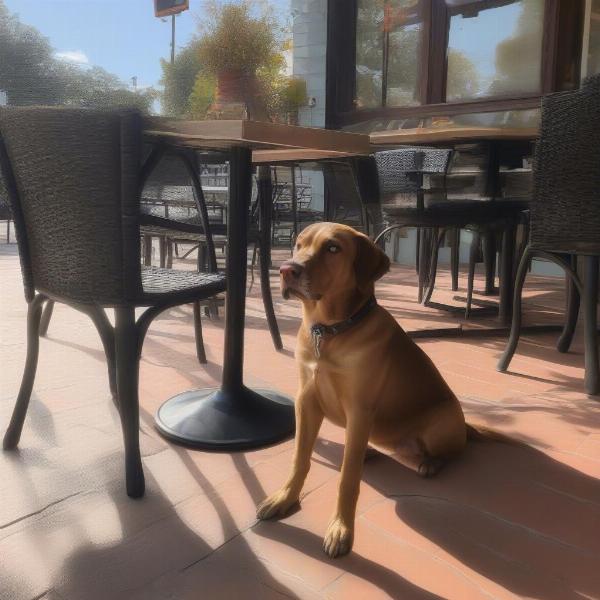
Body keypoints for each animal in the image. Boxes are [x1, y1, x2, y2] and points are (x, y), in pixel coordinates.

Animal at [255, 221, 466, 556]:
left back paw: (431, 463)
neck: (329, 331)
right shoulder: (305, 402)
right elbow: (299, 459)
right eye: (298, 244)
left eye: (333, 248)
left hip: (441, 424)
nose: (287, 270)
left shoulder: (359, 410)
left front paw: (341, 528)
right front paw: (285, 498)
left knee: (456, 451)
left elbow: (348, 479)